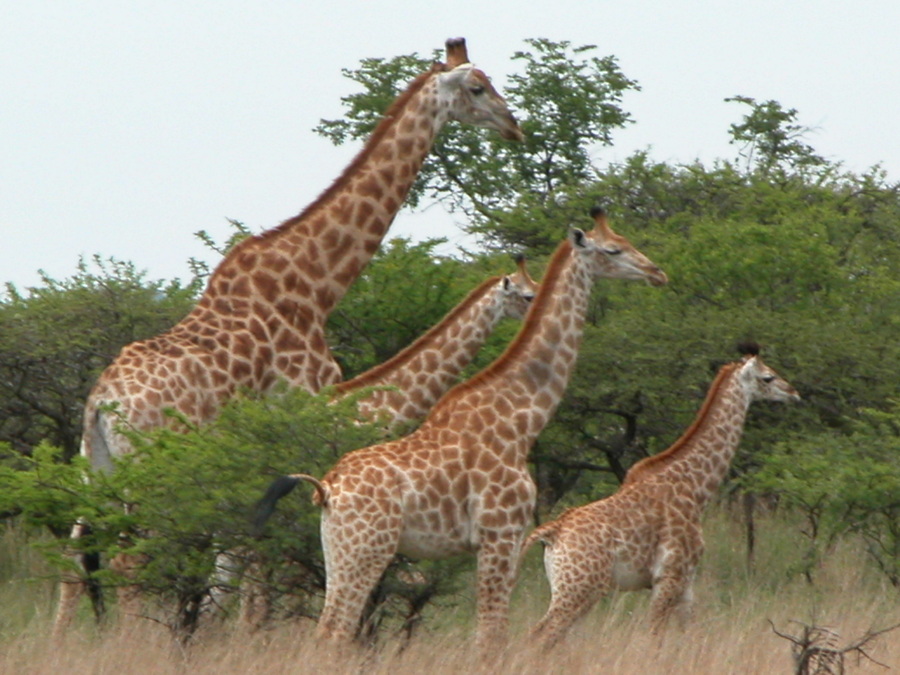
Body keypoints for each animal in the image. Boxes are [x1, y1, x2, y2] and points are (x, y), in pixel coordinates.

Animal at [520, 344, 800, 648]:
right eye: (768, 377)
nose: (794, 392)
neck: (697, 487)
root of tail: (553, 531)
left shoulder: (686, 580)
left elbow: (691, 633)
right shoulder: (669, 576)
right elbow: (653, 637)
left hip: (570, 588)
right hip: (581, 588)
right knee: (541, 635)